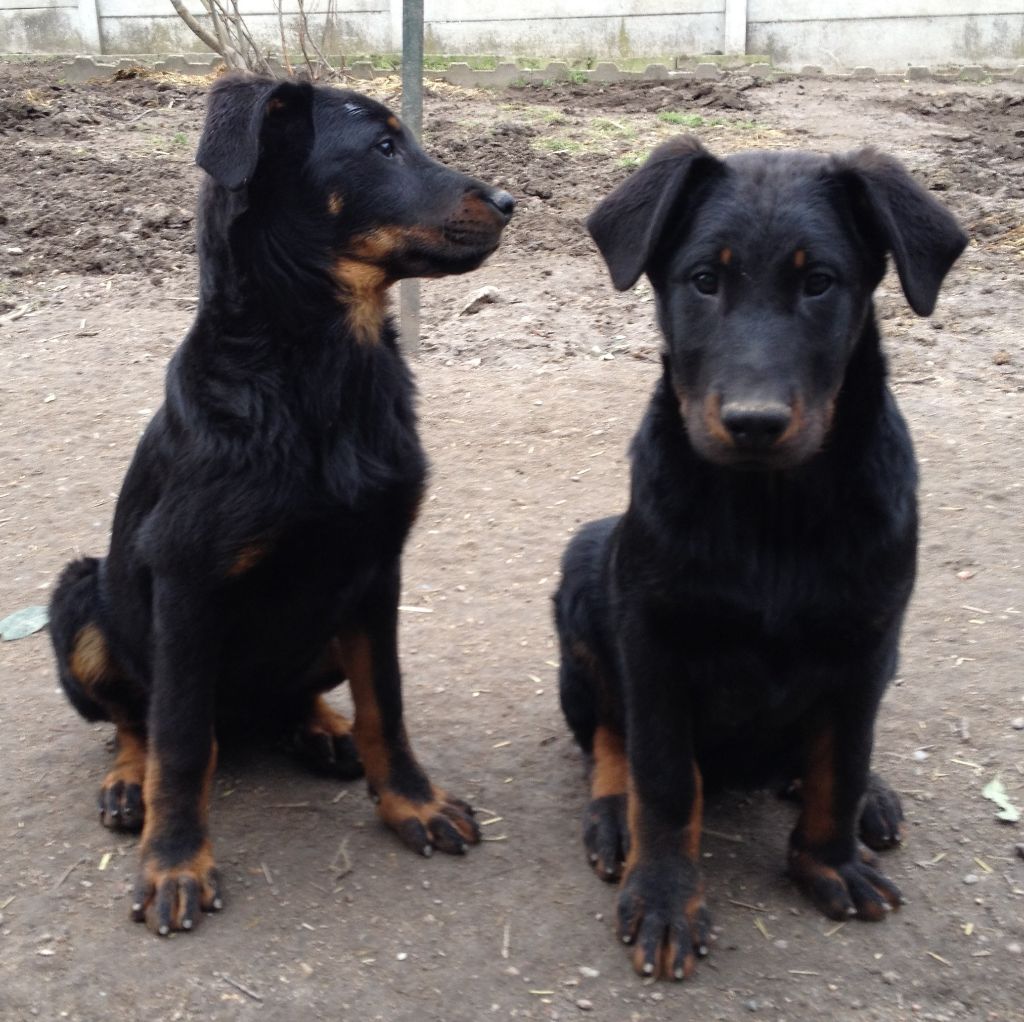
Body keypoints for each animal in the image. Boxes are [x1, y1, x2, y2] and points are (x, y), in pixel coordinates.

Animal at [48, 73, 514, 936]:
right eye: (383, 146)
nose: (509, 201)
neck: (319, 371)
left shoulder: (377, 570)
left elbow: (386, 704)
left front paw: (412, 801)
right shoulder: (188, 586)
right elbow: (180, 742)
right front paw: (174, 863)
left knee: (299, 696)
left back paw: (322, 731)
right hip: (80, 595)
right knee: (138, 718)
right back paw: (130, 779)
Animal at [554, 136, 966, 980]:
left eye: (819, 283)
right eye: (705, 280)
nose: (753, 422)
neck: (770, 509)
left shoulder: (868, 637)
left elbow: (842, 762)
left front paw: (829, 862)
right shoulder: (653, 640)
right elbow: (665, 779)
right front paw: (666, 898)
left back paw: (869, 796)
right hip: (586, 569)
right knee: (608, 732)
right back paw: (613, 812)